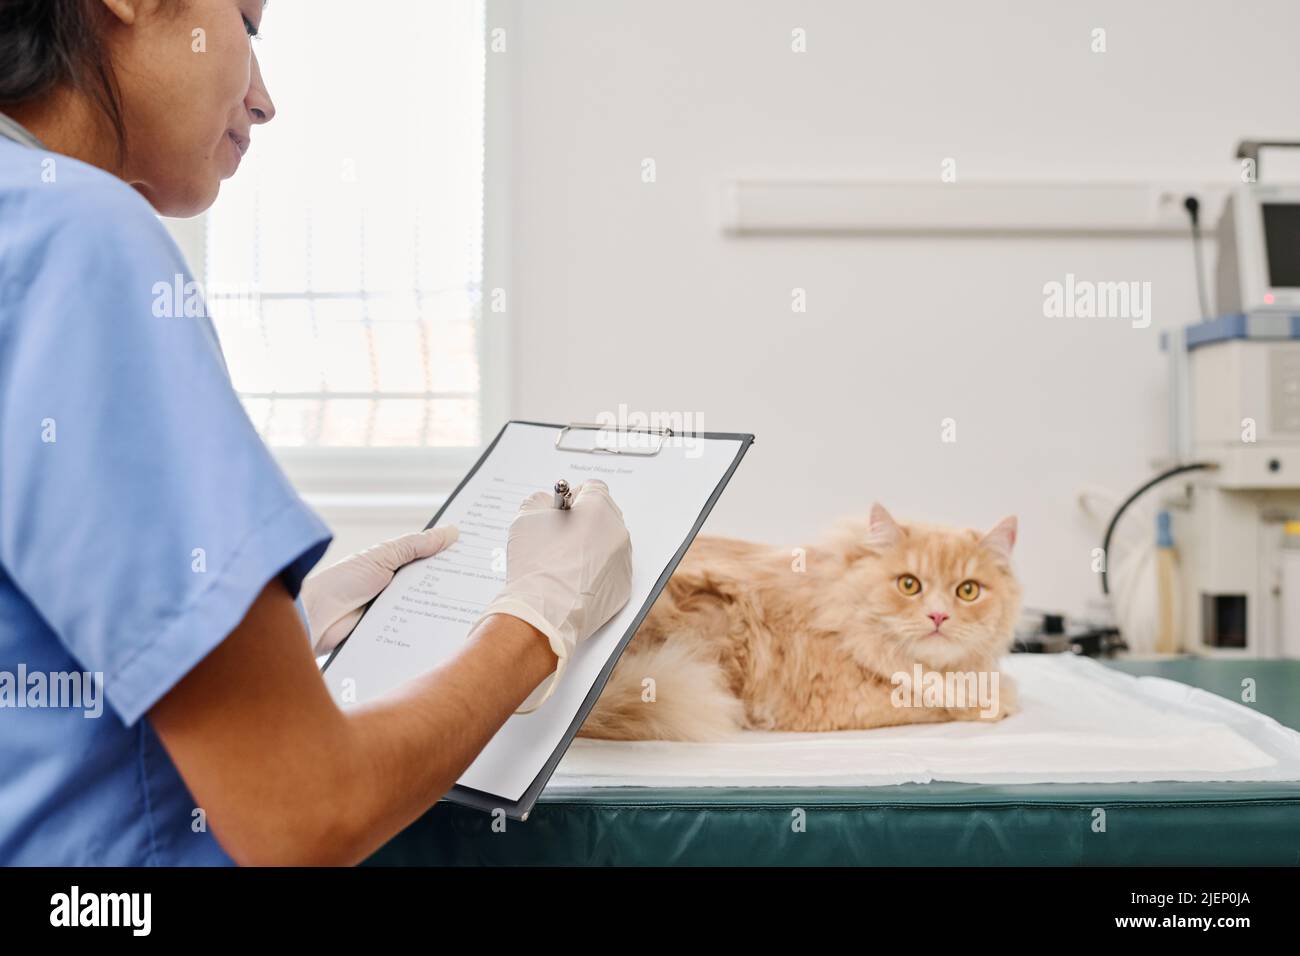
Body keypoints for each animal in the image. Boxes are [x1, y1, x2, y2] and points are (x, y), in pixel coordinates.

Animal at [582, 504, 1024, 743]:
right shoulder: (844, 700)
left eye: (968, 591)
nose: (938, 615)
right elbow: (942, 699)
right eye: (908, 585)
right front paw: (997, 698)